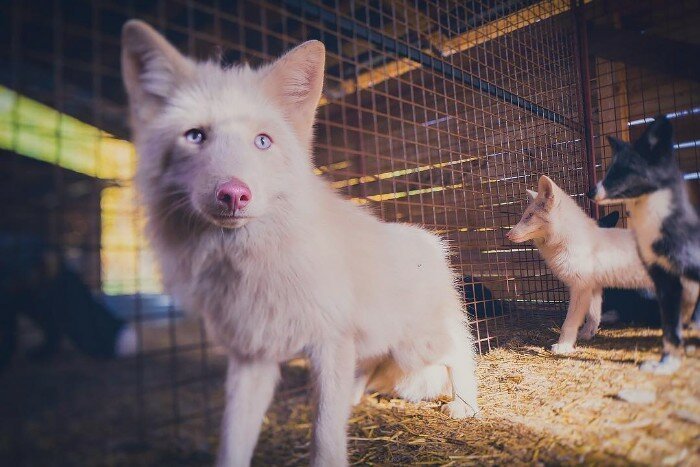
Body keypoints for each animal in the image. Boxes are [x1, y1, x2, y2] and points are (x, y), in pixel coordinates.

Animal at [121, 19, 482, 467]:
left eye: (262, 141)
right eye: (195, 136)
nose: (233, 194)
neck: (253, 266)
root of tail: (429, 241)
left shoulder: (329, 341)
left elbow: (325, 436)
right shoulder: (253, 353)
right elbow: (233, 440)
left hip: (416, 345)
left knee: (460, 352)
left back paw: (466, 405)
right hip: (376, 342)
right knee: (368, 367)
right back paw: (357, 398)